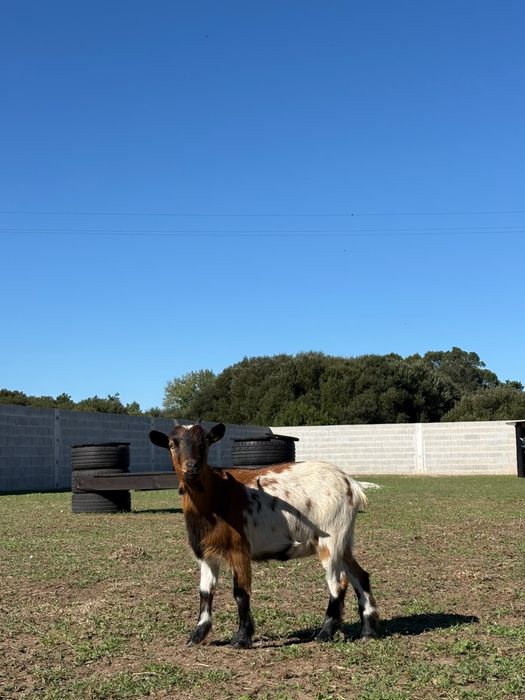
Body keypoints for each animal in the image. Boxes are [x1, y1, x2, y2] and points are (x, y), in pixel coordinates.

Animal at [149, 422, 379, 648]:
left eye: (205, 442)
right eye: (172, 444)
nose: (191, 466)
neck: (217, 495)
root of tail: (350, 483)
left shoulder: (239, 549)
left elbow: (240, 592)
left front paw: (242, 638)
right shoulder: (207, 553)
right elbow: (205, 592)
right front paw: (196, 635)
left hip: (330, 539)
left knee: (338, 582)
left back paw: (325, 633)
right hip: (344, 541)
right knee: (360, 576)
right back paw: (367, 631)